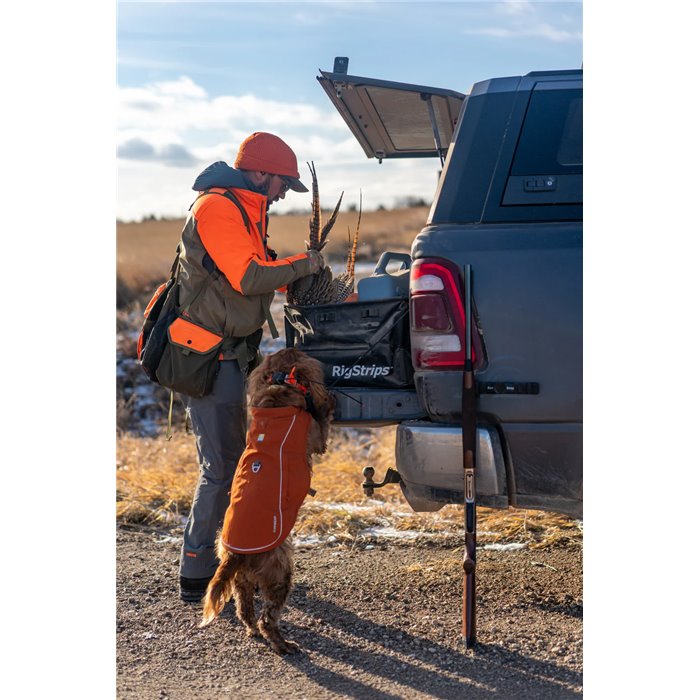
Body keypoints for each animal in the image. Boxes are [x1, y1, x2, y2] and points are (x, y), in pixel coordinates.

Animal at [201, 348, 334, 652]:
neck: (279, 386)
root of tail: (235, 555)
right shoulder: (317, 436)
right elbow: (323, 422)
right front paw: (330, 403)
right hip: (279, 573)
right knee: (267, 618)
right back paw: (284, 645)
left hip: (242, 582)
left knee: (245, 611)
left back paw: (254, 631)